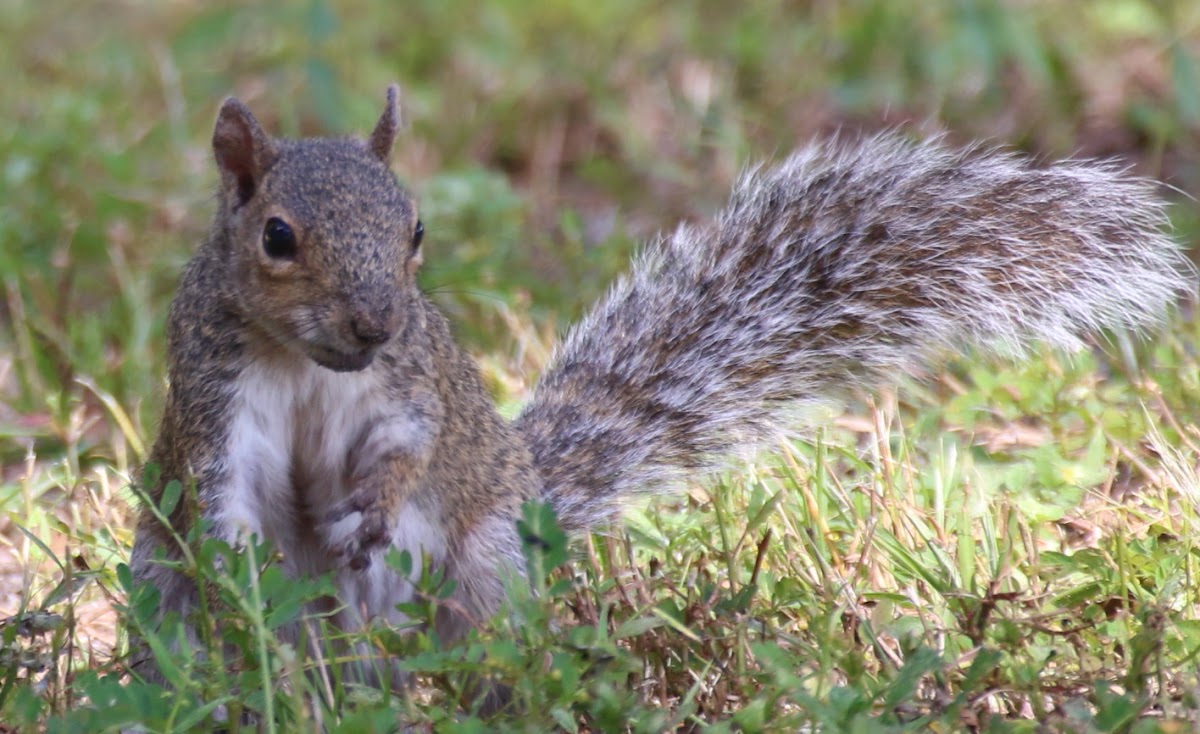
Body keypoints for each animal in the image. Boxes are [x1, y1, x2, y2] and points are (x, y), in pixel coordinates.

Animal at [126, 85, 1195, 686]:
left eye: (415, 229)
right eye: (277, 237)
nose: (376, 322)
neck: (310, 365)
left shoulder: (411, 390)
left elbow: (409, 453)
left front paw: (373, 510)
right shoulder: (217, 400)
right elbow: (224, 497)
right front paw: (243, 570)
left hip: (484, 575)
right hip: (163, 595)